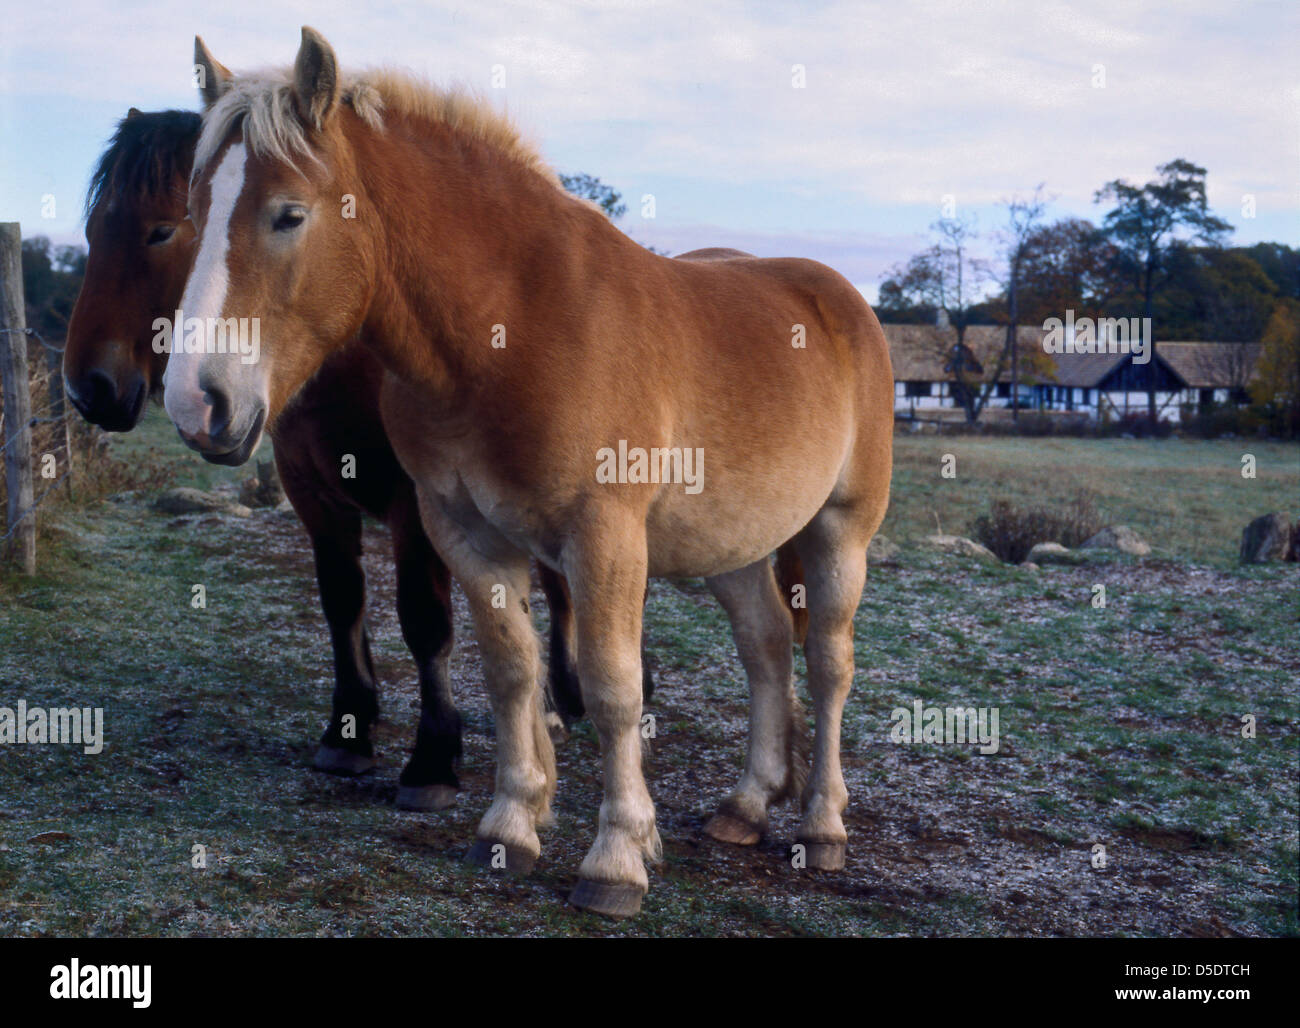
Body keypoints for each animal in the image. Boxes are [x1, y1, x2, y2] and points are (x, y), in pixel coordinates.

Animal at [62, 106, 644, 810]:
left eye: (162, 230)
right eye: (94, 229)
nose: (88, 387)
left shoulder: (415, 505)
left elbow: (425, 621)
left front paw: (432, 759)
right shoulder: (313, 495)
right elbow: (342, 603)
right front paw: (349, 730)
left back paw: (565, 697)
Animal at [167, 28, 892, 917]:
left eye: (288, 214)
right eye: (192, 215)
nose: (198, 404)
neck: (512, 330)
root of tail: (839, 297)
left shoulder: (603, 540)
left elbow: (613, 690)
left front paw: (616, 858)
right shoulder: (465, 532)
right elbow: (513, 672)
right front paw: (511, 825)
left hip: (840, 533)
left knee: (827, 663)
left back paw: (822, 824)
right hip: (737, 544)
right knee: (765, 648)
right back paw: (747, 807)